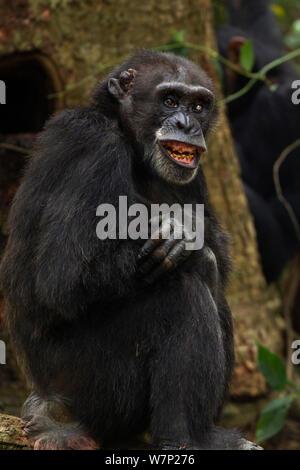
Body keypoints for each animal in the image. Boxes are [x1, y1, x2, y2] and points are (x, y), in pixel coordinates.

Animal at [0, 49, 260, 450]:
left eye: (199, 105)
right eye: (170, 100)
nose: (187, 123)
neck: (130, 140)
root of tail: (47, 402)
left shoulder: (195, 176)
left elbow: (218, 249)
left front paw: (187, 228)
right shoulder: (94, 147)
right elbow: (64, 276)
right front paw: (180, 234)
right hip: (93, 387)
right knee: (183, 288)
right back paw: (185, 439)